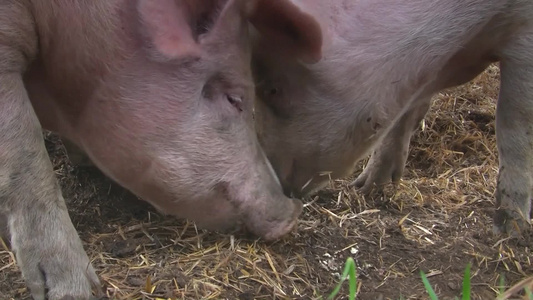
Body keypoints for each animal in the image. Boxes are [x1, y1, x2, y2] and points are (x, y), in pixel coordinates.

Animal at [251, 1, 532, 237]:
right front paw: (366, 188)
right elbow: (401, 119)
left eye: (272, 90)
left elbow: (514, 127)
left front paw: (509, 230)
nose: (272, 180)